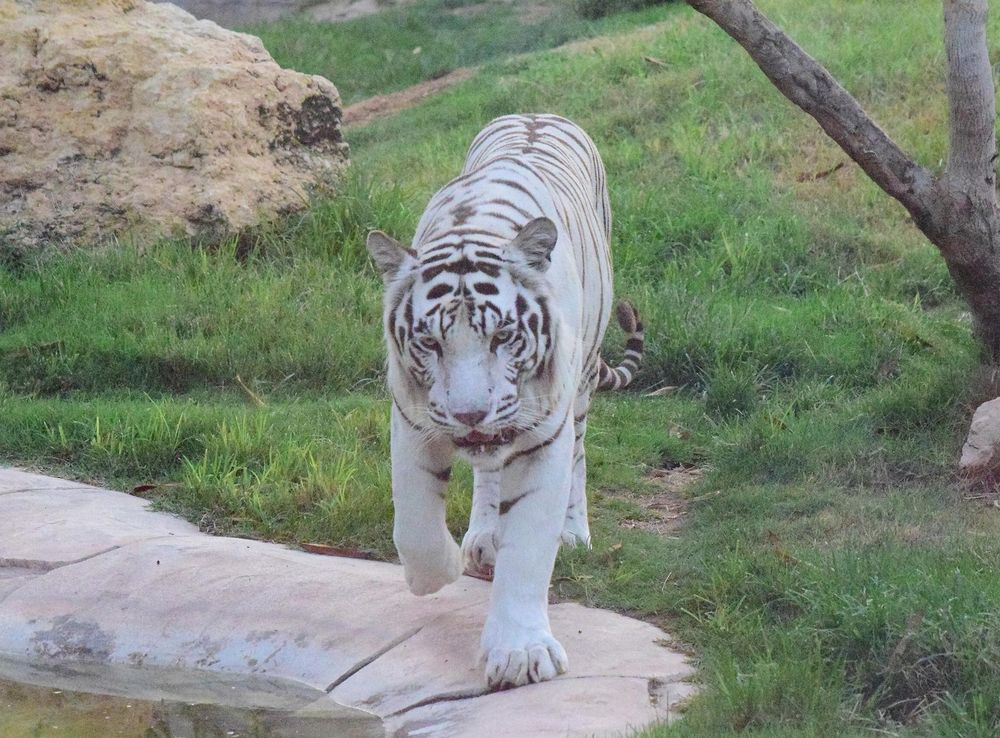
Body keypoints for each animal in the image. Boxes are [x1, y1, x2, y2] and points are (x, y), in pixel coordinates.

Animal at [366, 113, 644, 689]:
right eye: (429, 342)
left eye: (503, 337)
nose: (470, 416)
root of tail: (539, 112)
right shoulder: (412, 420)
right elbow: (414, 527)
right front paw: (442, 570)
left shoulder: (544, 435)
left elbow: (530, 548)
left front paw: (520, 654)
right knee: (487, 476)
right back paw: (480, 538)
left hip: (581, 384)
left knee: (579, 455)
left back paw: (573, 531)